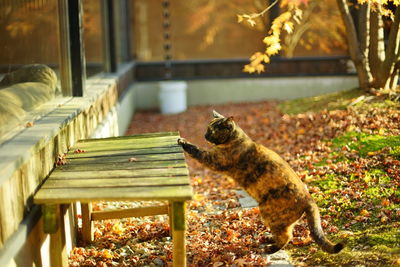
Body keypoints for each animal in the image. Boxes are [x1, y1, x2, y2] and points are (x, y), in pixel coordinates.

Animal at [178, 111, 344, 255]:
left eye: (211, 130)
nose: (205, 135)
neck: (238, 140)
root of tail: (309, 199)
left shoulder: (213, 160)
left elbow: (197, 150)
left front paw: (183, 142)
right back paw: (269, 238)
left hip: (269, 214)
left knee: (287, 236)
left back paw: (271, 248)